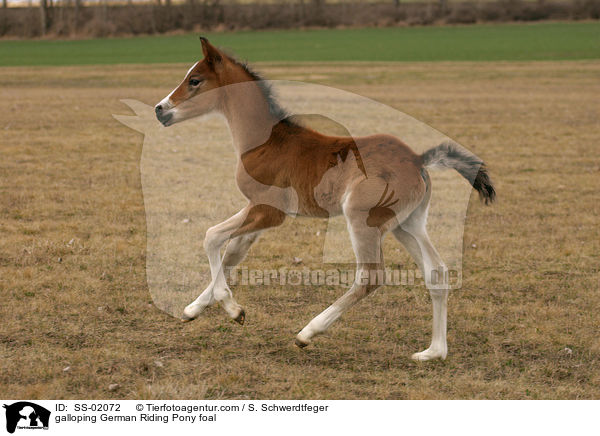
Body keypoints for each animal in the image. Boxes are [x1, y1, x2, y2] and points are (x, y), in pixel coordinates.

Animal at [156, 37, 496, 360]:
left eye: (195, 80)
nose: (160, 109)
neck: (266, 142)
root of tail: (417, 159)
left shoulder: (269, 212)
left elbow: (212, 237)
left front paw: (232, 309)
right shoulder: (258, 210)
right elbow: (232, 254)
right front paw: (194, 309)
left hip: (361, 218)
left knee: (370, 276)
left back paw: (308, 332)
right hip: (407, 224)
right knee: (436, 272)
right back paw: (433, 352)